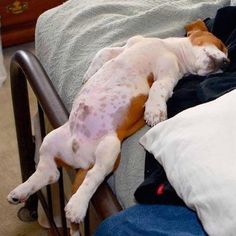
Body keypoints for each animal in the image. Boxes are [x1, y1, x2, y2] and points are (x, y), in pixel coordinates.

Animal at [6, 19, 229, 230]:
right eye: (220, 44)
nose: (226, 63)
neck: (169, 48)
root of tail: (80, 159)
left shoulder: (167, 75)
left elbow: (157, 88)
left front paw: (154, 111)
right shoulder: (128, 45)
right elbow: (104, 51)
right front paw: (89, 74)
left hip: (109, 149)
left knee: (92, 176)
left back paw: (76, 206)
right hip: (51, 139)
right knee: (49, 173)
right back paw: (20, 192)